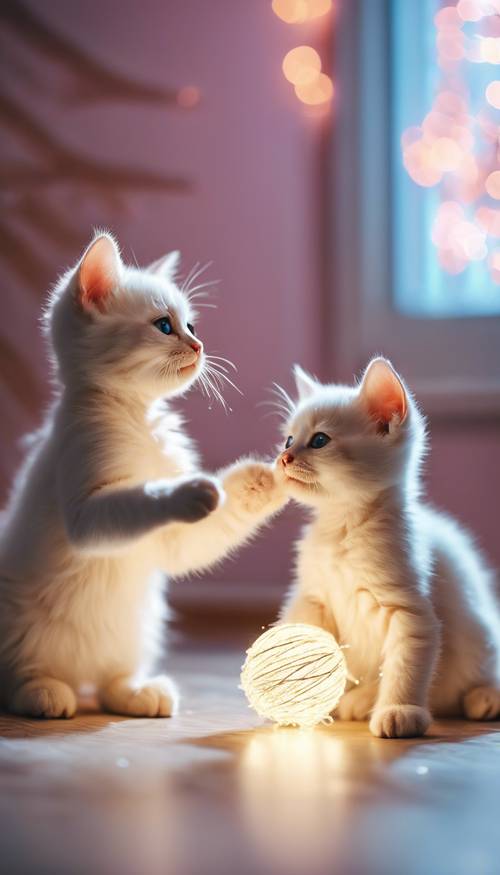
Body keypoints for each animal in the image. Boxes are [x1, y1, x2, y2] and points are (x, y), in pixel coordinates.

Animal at [0, 233, 286, 720]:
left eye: (192, 325)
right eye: (164, 326)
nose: (198, 346)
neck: (138, 418)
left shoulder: (172, 543)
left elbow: (202, 533)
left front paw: (259, 481)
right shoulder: (86, 509)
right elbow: (138, 499)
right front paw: (186, 493)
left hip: (137, 629)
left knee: (110, 681)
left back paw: (137, 692)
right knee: (24, 673)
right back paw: (43, 692)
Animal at [278, 360, 500, 736]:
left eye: (319, 440)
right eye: (289, 438)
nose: (283, 457)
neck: (342, 530)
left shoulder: (410, 611)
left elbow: (404, 666)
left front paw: (399, 710)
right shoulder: (312, 598)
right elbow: (307, 643)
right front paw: (298, 699)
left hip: (477, 634)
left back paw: (485, 697)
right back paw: (359, 699)